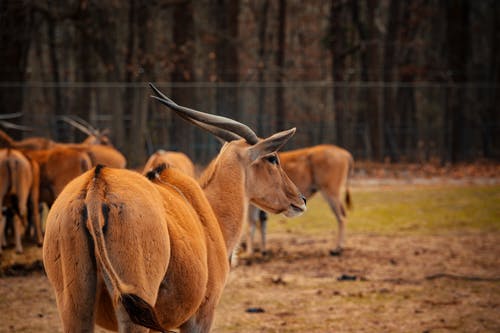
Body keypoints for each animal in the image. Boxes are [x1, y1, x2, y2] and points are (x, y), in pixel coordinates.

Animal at [43, 83, 306, 332]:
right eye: (272, 159)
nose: (300, 200)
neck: (207, 212)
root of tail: (96, 186)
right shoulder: (200, 317)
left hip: (75, 307)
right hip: (135, 312)